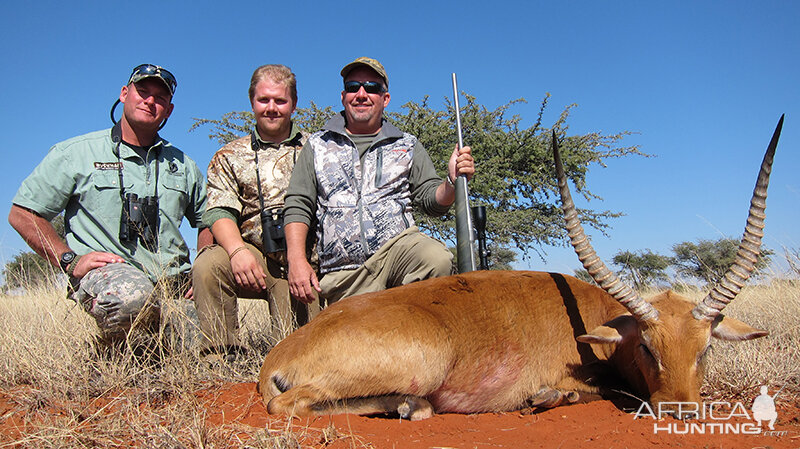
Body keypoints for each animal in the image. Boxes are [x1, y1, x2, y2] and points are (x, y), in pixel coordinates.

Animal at [258, 114, 780, 416]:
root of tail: (280, 355)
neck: (594, 318)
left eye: (705, 349)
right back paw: (411, 406)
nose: (681, 411)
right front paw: (548, 397)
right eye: (648, 348)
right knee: (291, 405)